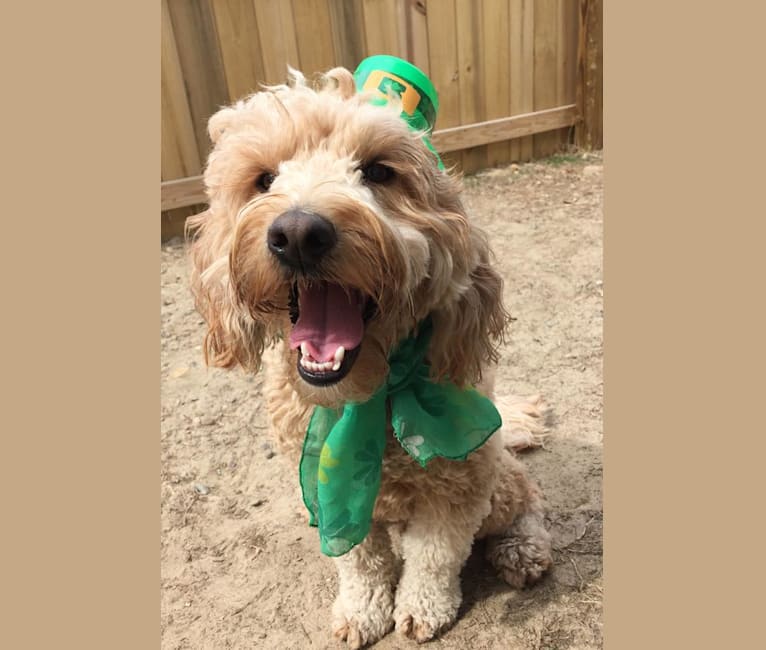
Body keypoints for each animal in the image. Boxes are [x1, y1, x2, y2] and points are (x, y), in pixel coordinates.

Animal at [189, 64, 556, 644]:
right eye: (264, 179)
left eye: (379, 172)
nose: (298, 233)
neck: (366, 398)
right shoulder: (328, 487)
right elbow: (360, 560)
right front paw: (363, 610)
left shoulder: (457, 488)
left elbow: (434, 558)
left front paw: (423, 609)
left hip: (497, 482)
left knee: (527, 497)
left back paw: (522, 549)